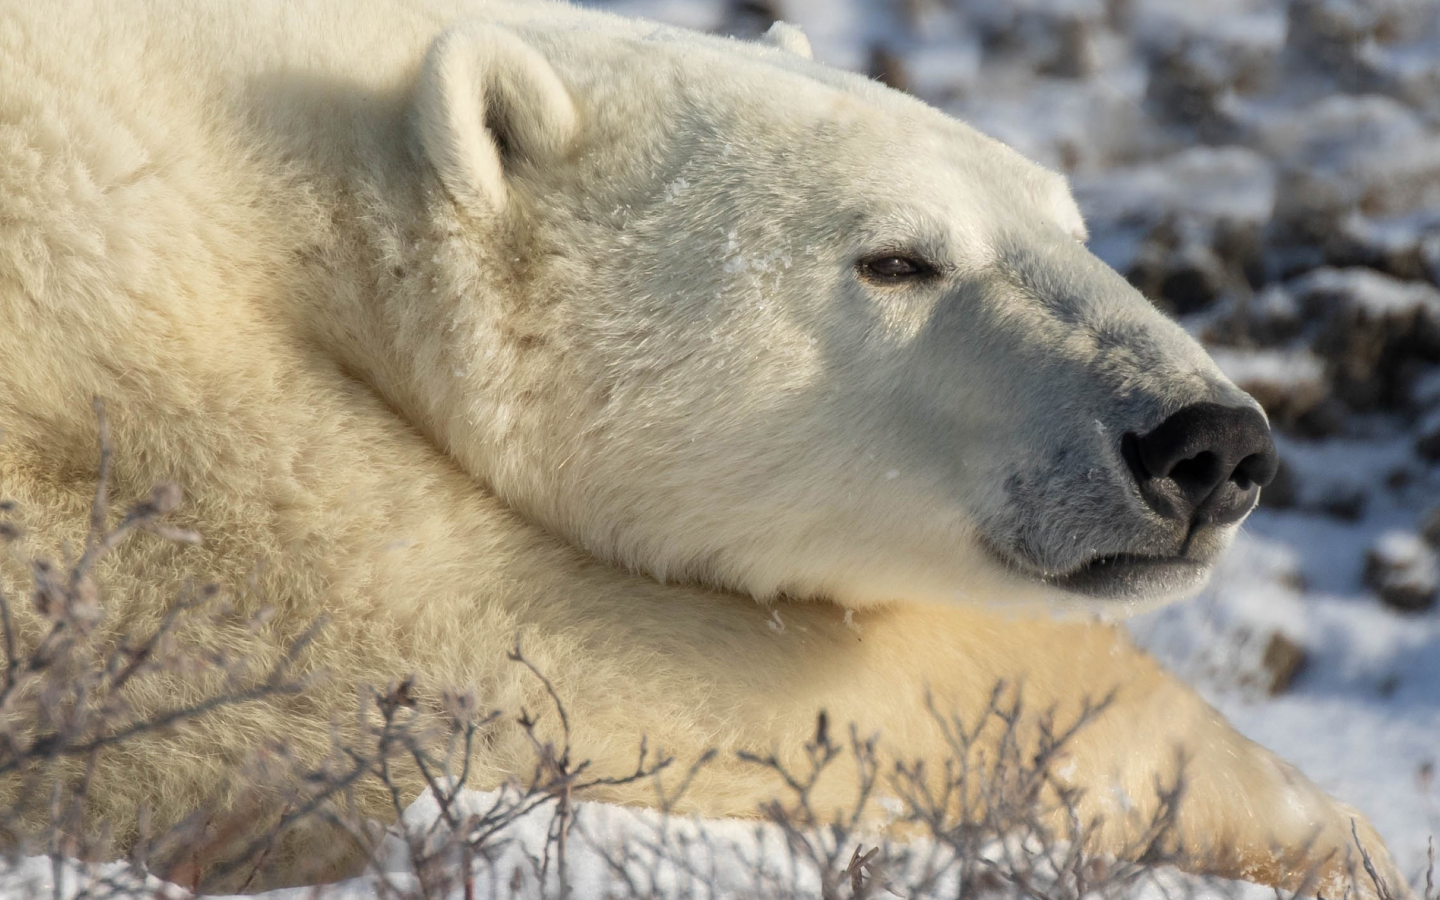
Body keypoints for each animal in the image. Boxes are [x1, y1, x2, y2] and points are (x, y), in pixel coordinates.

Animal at [0, 0, 1405, 892]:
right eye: (898, 258)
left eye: (1072, 226)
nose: (1209, 445)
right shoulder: (142, 384)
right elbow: (471, 667)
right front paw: (1319, 826)